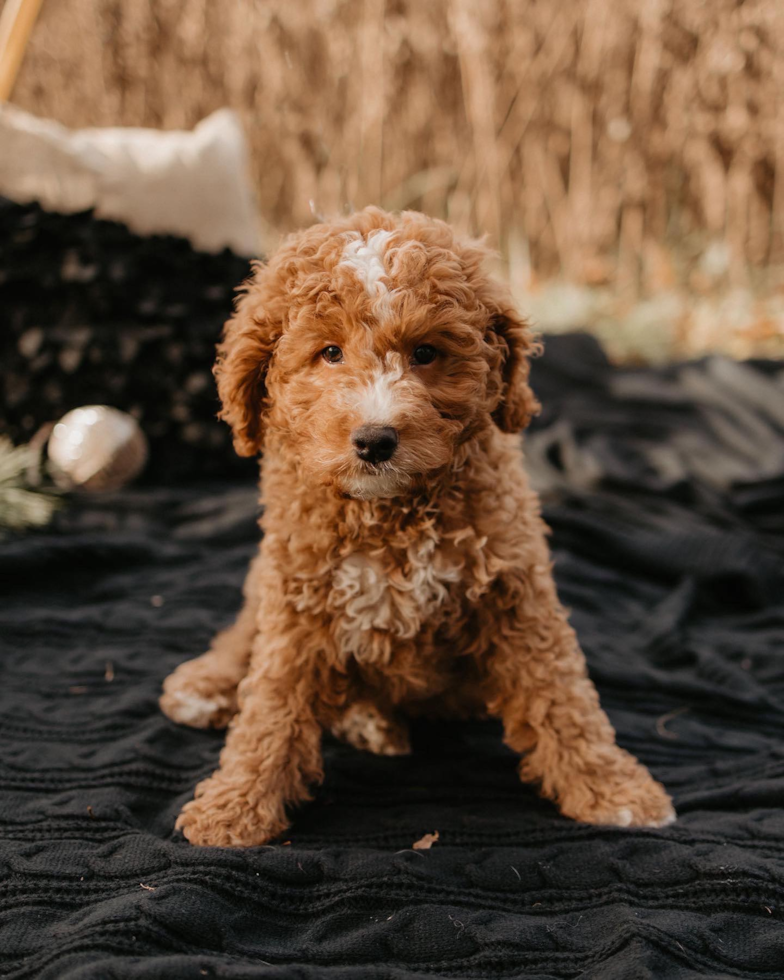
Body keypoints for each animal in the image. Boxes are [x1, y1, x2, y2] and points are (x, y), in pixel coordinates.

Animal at [159, 209, 672, 848]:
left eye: (426, 352)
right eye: (329, 353)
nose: (375, 439)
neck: (390, 516)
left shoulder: (516, 591)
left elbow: (560, 692)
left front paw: (611, 789)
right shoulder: (298, 594)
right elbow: (272, 700)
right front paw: (237, 804)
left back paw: (368, 721)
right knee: (242, 633)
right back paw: (209, 687)